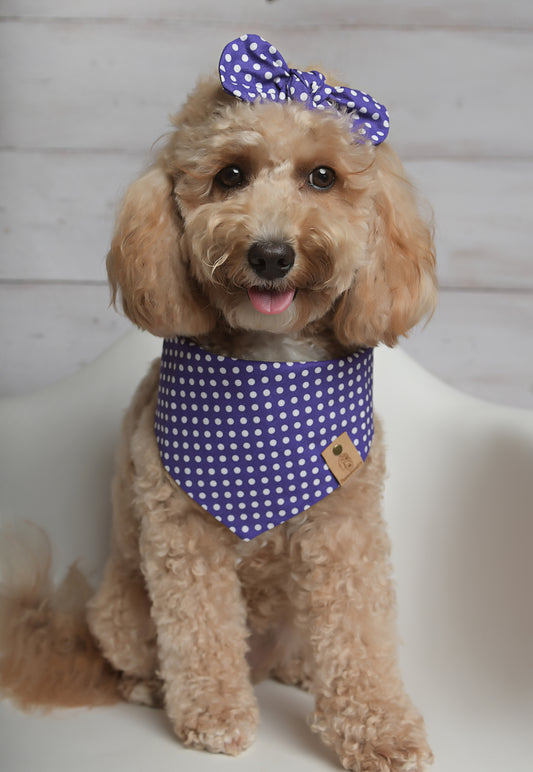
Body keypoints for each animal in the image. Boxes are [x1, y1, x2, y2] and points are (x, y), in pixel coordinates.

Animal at [1, 33, 436, 768]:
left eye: (323, 177)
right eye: (231, 174)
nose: (271, 254)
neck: (269, 368)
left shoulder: (344, 529)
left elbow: (359, 634)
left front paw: (381, 729)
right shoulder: (183, 531)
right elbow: (200, 630)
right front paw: (212, 715)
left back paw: (299, 668)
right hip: (121, 611)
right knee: (137, 656)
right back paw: (153, 687)